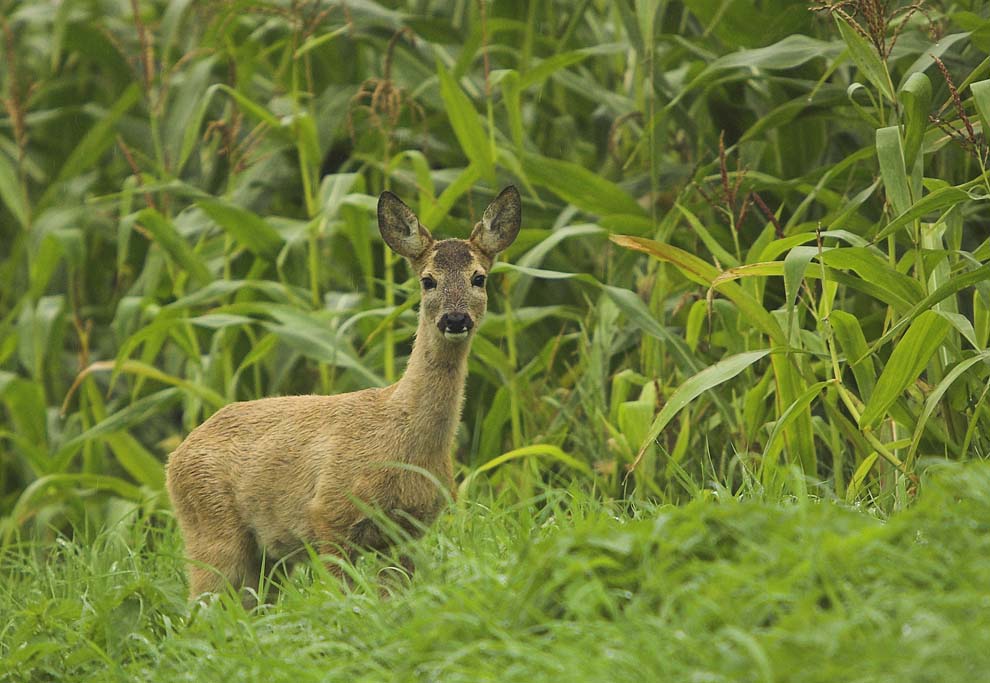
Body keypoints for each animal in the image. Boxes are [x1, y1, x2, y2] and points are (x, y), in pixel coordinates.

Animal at [167, 187, 524, 604]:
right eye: (428, 281)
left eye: (479, 278)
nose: (455, 319)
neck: (402, 434)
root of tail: (174, 457)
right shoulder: (328, 516)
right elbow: (342, 596)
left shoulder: (409, 531)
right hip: (210, 528)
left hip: (268, 555)